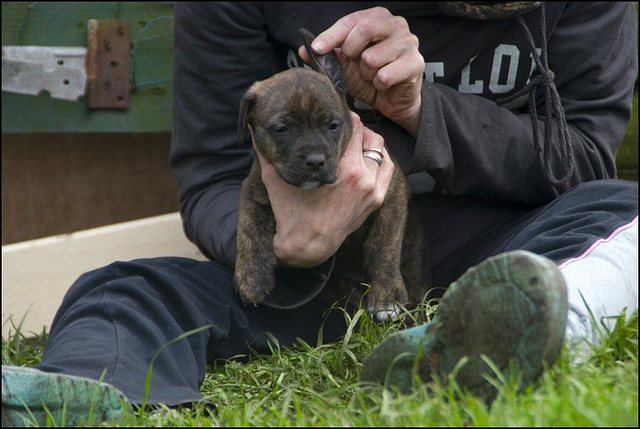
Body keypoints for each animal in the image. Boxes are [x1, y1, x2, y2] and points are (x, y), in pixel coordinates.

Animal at [235, 28, 430, 320]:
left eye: (333, 125)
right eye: (282, 129)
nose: (316, 161)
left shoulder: (392, 188)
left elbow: (383, 244)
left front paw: (387, 296)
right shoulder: (253, 190)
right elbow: (248, 228)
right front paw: (251, 277)